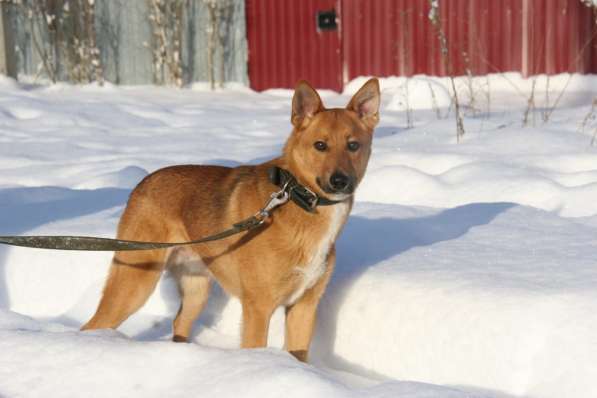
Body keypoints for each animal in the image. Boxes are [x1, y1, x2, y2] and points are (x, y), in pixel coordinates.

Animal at [81, 77, 380, 360]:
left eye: (353, 145)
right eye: (320, 145)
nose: (340, 181)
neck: (298, 197)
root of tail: (141, 183)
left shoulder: (304, 307)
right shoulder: (259, 308)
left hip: (196, 289)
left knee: (179, 322)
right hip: (135, 280)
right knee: (93, 325)